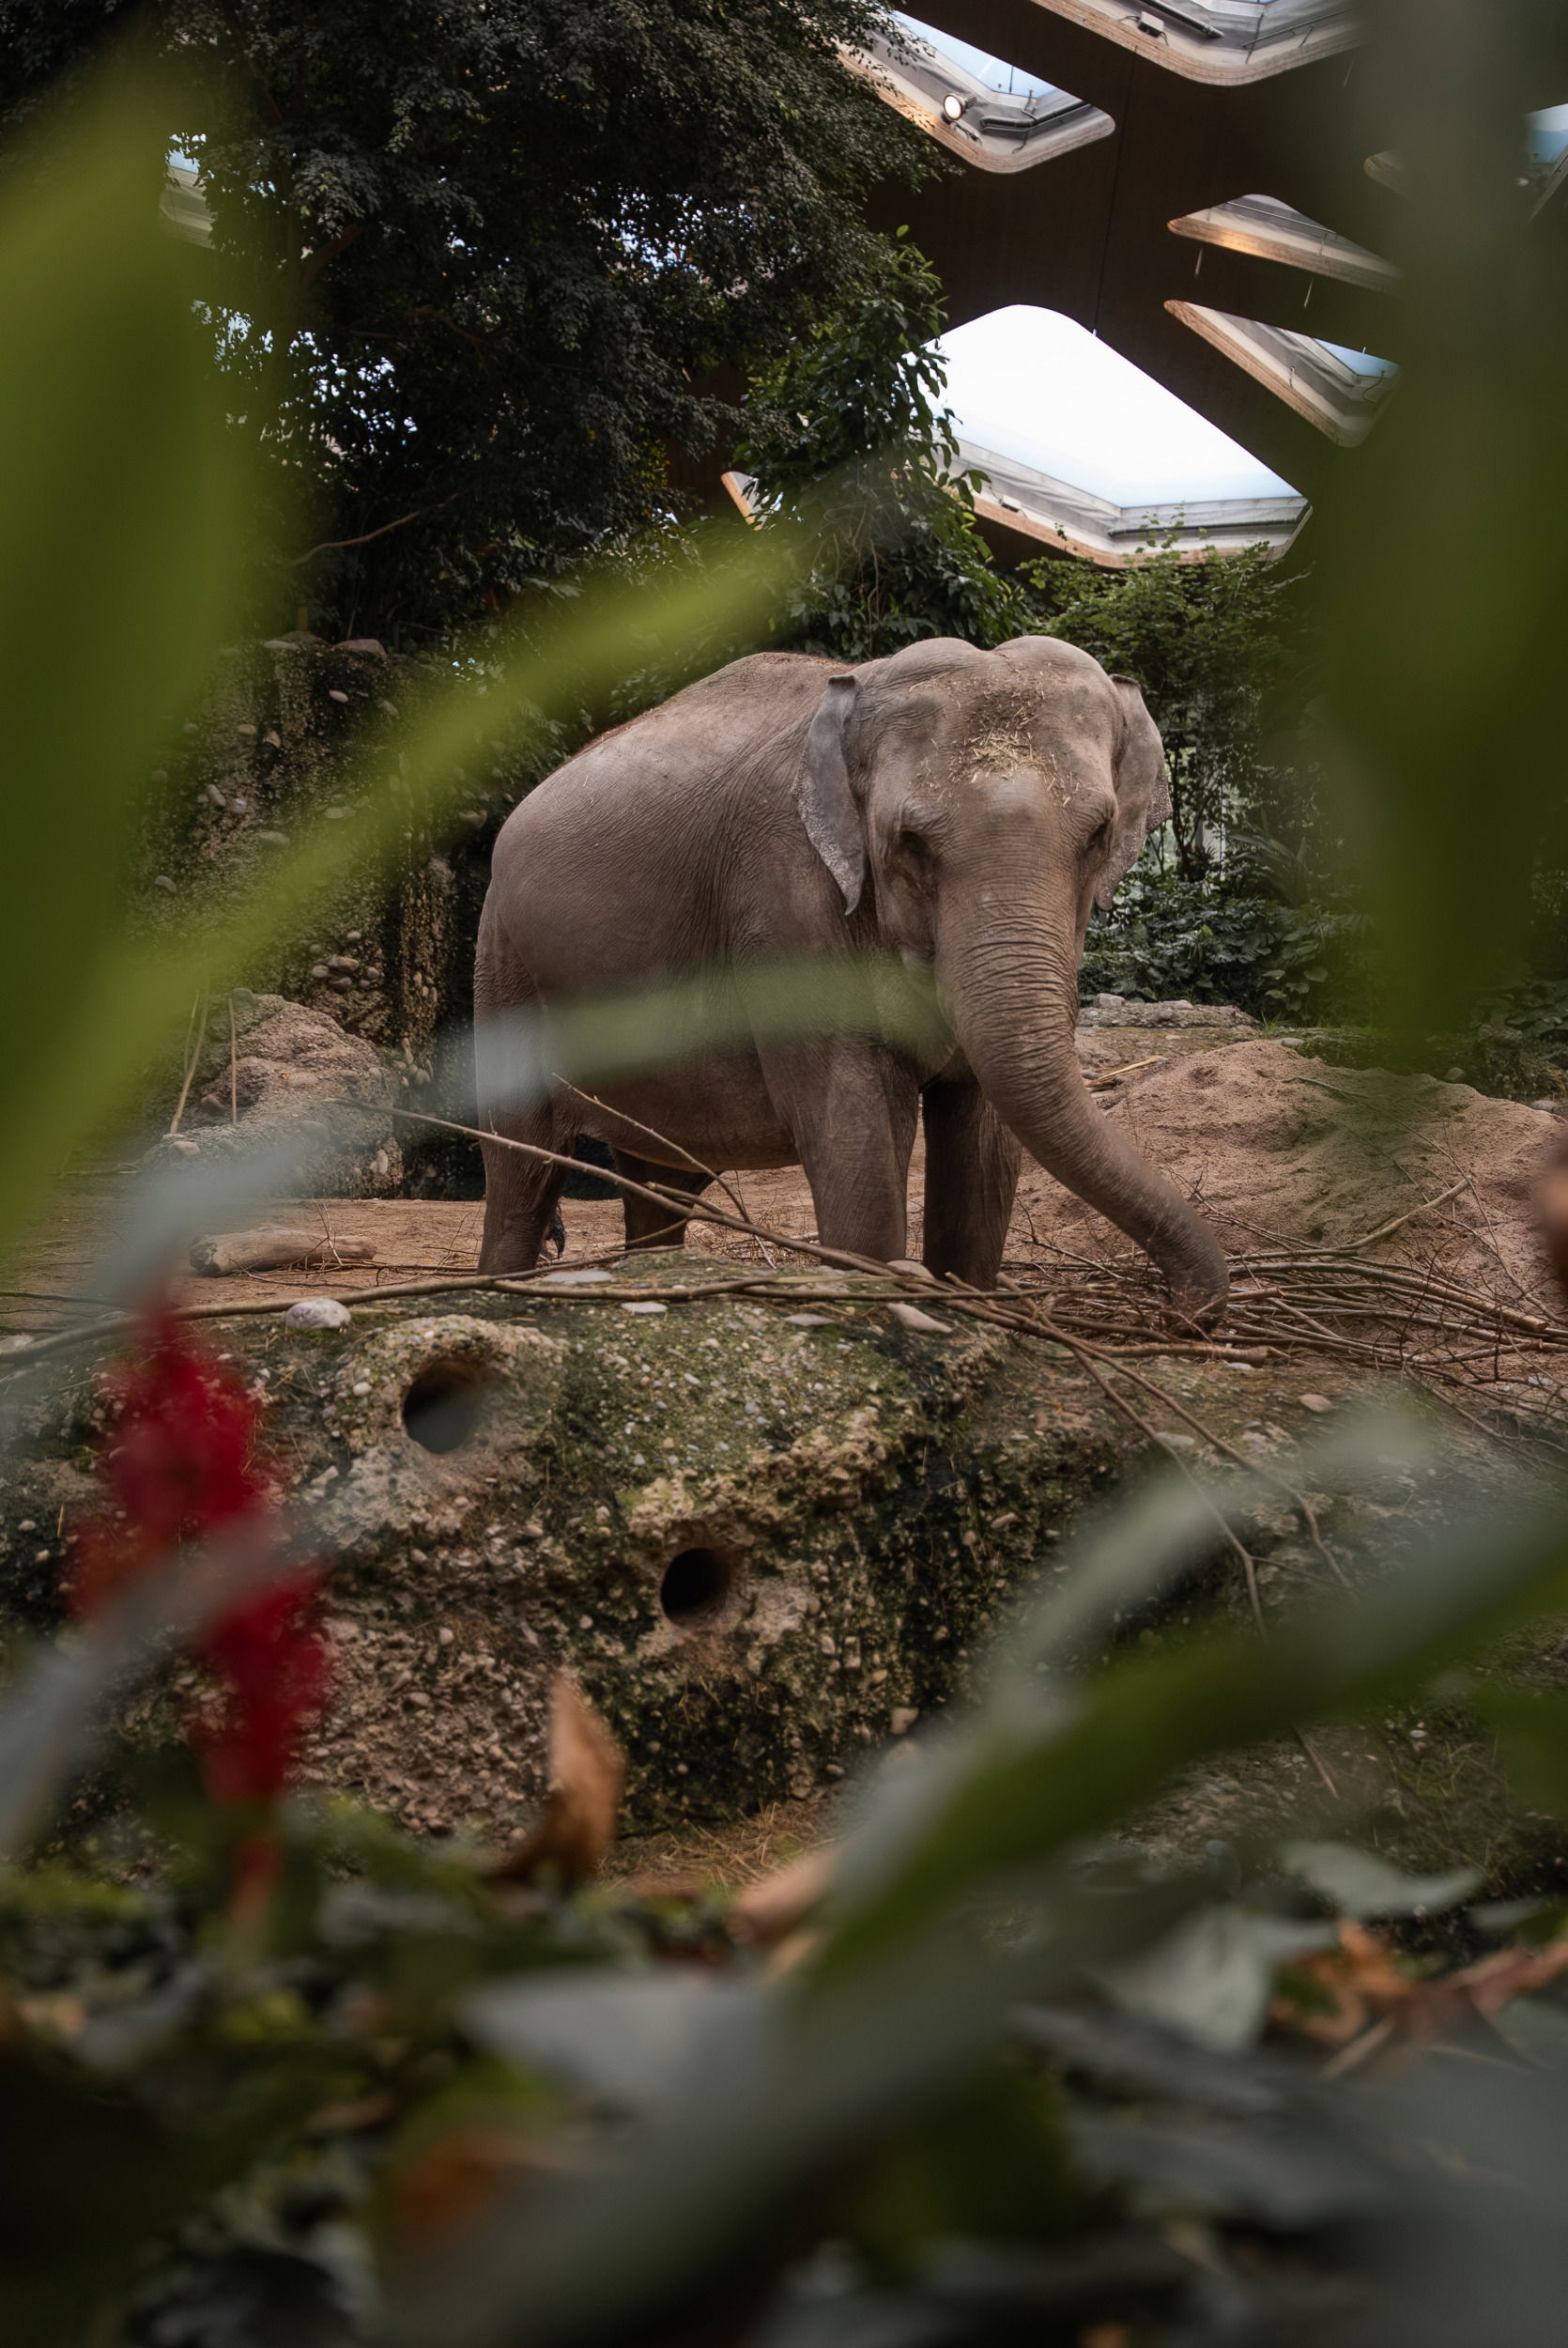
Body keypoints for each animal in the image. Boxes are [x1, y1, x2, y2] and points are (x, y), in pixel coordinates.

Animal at [473, 635, 1228, 1322]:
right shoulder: (784, 898)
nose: (1184, 1309)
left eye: (1098, 835)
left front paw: (967, 1308)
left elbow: (984, 1150)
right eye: (911, 843)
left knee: (663, 1177)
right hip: (502, 964)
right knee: (524, 1172)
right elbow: (853, 1137)